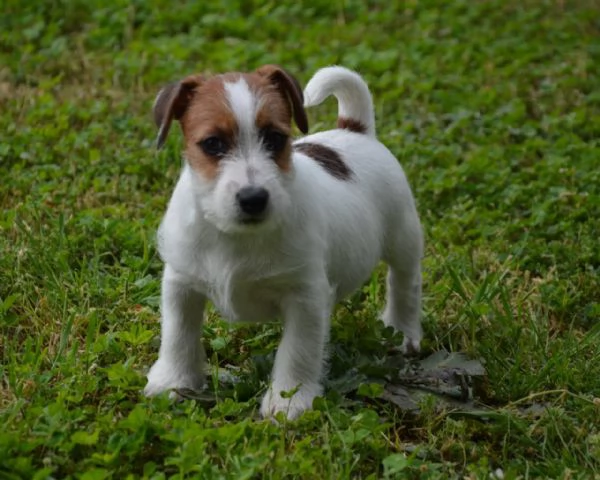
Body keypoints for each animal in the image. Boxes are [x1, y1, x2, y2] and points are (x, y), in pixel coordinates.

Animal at [145, 64, 424, 420]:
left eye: (276, 138)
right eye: (213, 144)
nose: (253, 198)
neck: (235, 236)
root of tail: (356, 130)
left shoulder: (305, 296)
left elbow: (298, 350)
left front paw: (289, 400)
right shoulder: (181, 284)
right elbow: (178, 334)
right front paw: (173, 381)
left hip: (403, 236)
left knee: (404, 282)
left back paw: (403, 331)